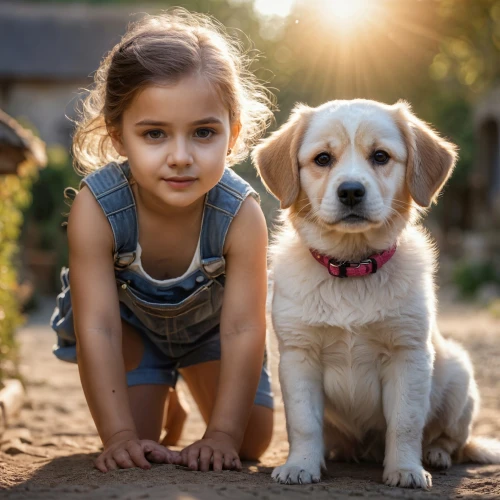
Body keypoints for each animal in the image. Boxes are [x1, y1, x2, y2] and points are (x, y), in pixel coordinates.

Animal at [254, 100, 500, 488]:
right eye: (323, 159)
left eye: (381, 156)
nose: (351, 191)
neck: (353, 266)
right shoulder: (299, 356)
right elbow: (304, 423)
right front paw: (300, 465)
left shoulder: (407, 355)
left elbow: (405, 423)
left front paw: (406, 470)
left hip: (459, 378)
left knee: (452, 440)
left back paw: (436, 455)